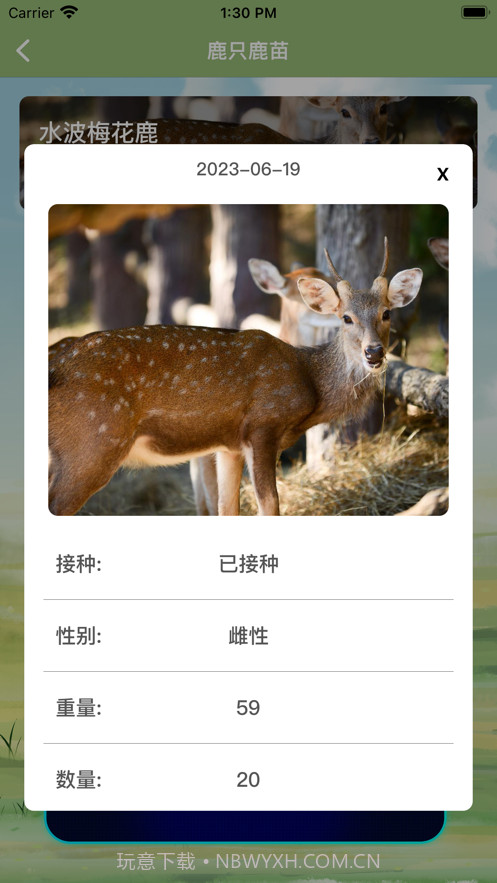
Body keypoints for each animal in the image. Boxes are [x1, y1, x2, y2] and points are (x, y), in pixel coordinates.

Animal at [48, 239, 422, 516]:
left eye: (386, 313)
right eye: (346, 317)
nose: (374, 352)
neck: (309, 383)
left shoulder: (229, 446)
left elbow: (227, 508)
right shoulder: (263, 427)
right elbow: (269, 506)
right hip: (92, 443)